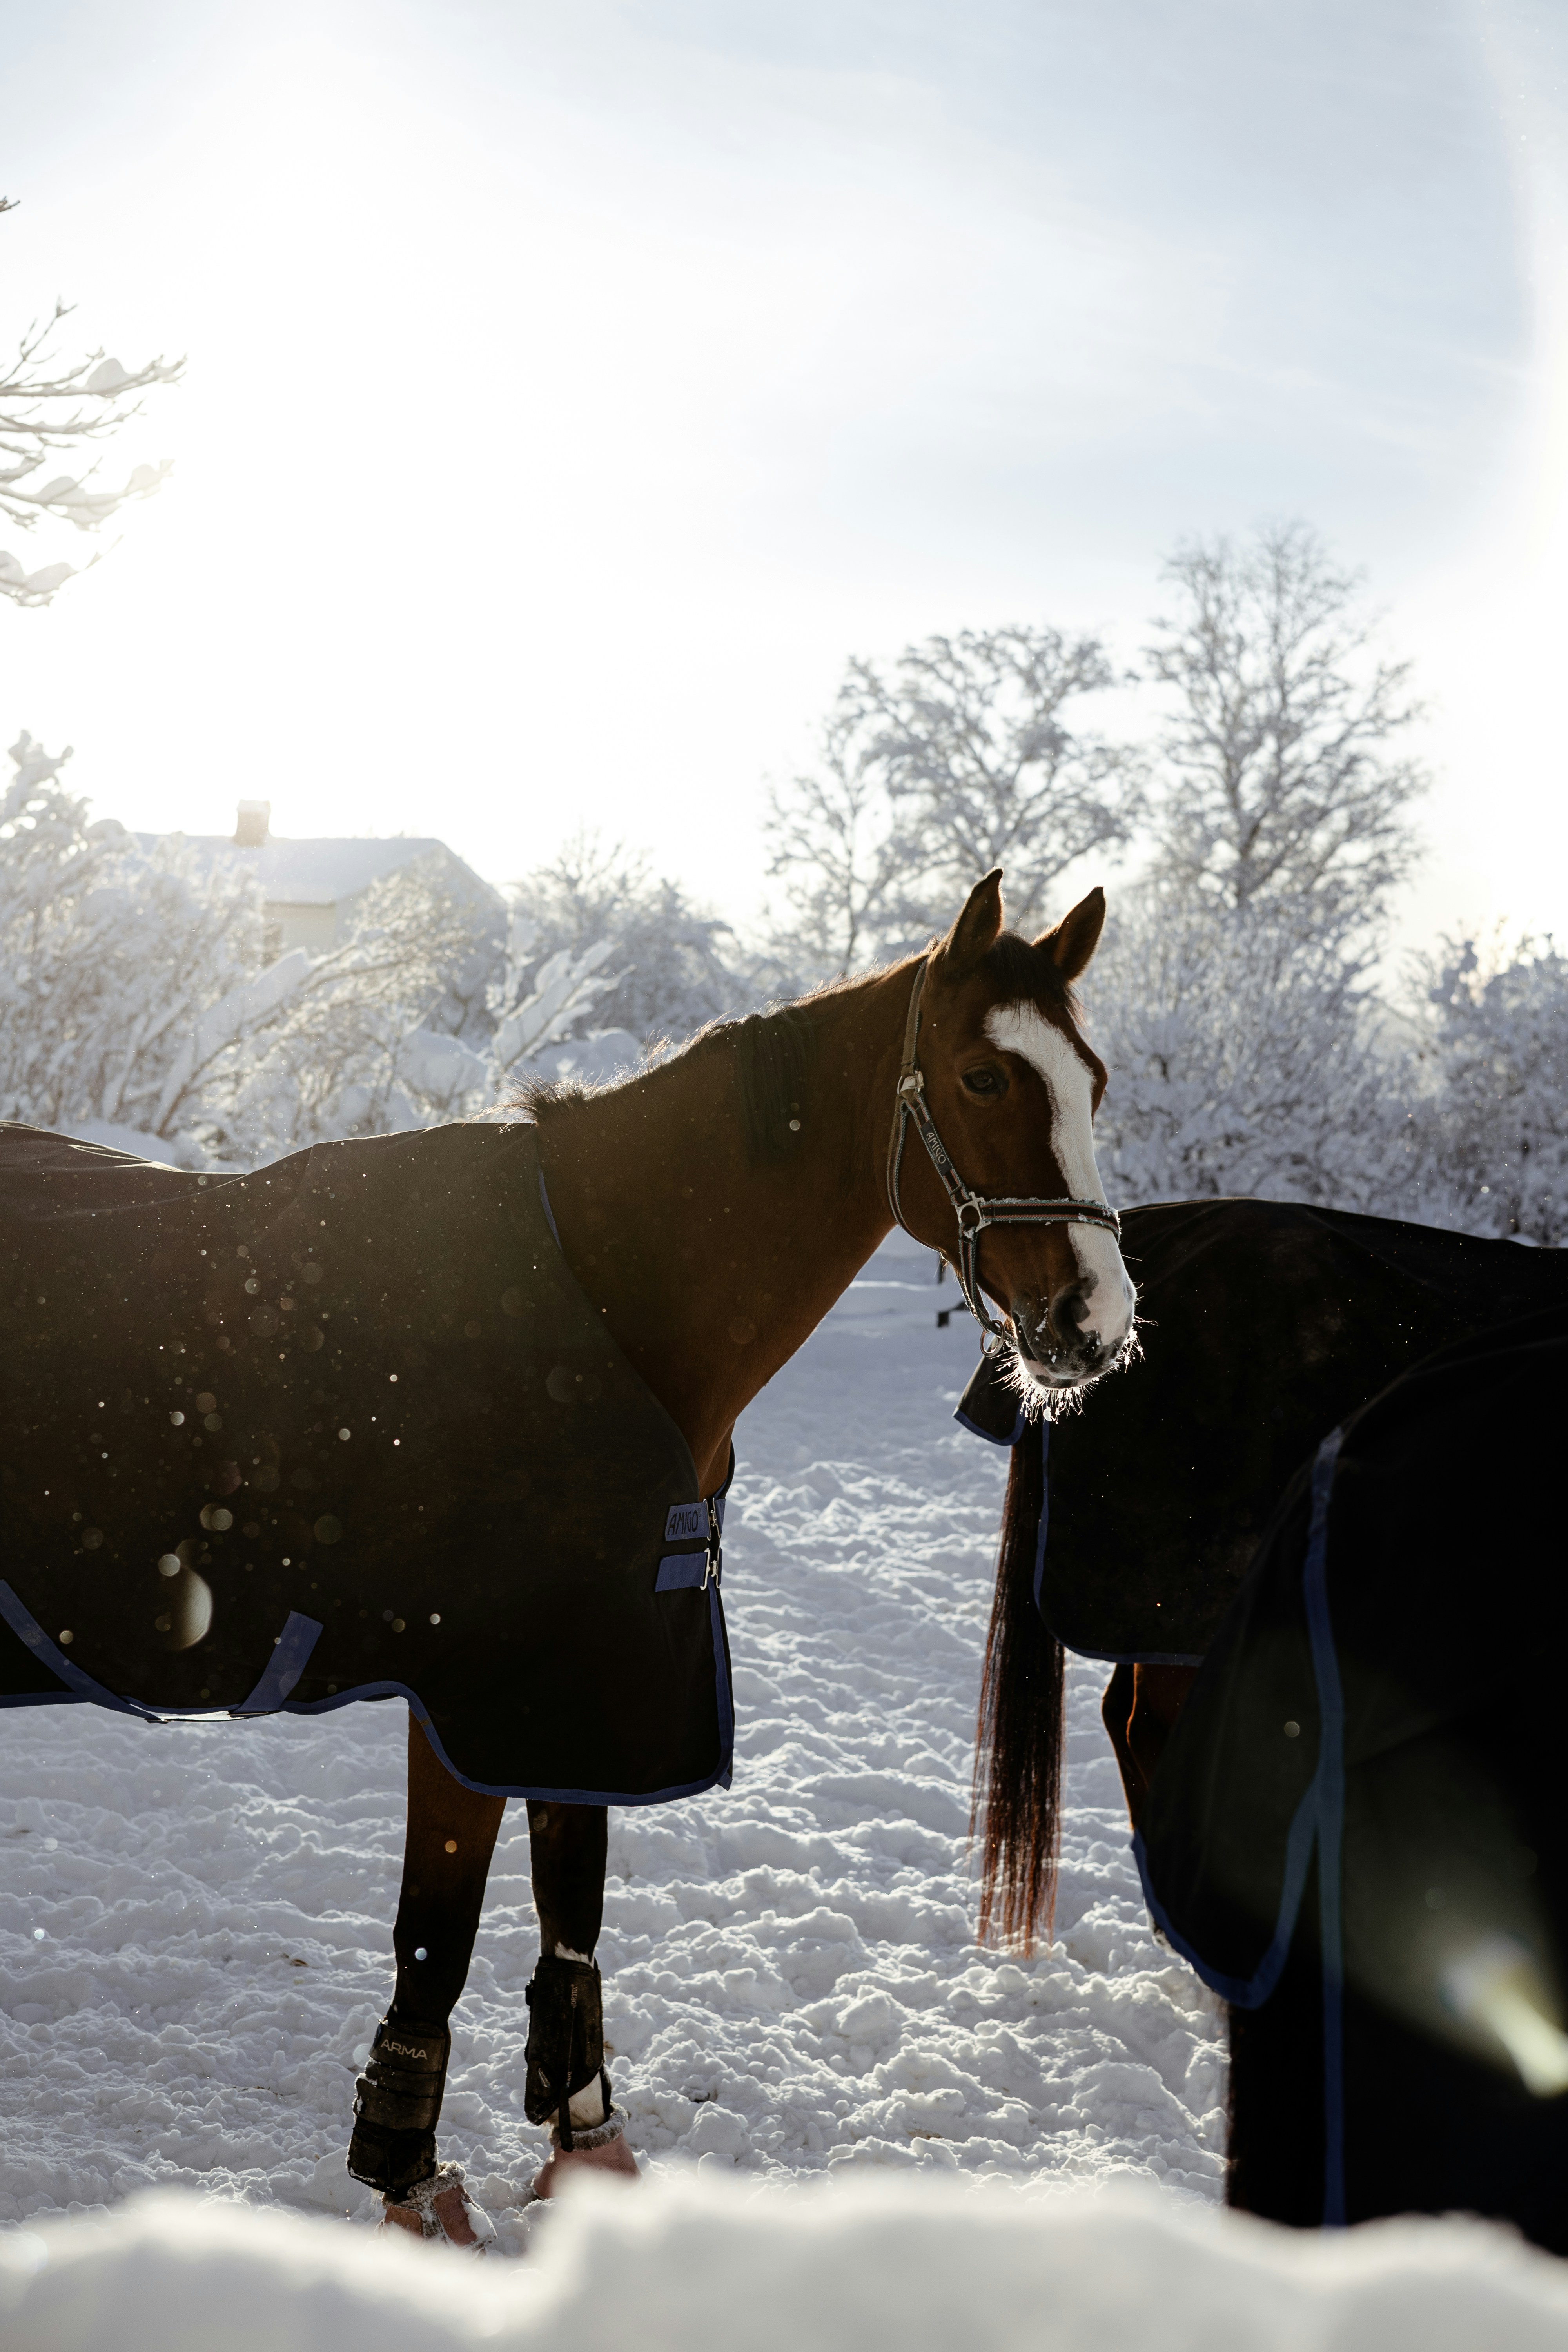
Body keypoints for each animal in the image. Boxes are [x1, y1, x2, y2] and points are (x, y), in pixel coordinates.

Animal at [0, 869, 1135, 2245]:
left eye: (1092, 1080)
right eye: (981, 1076)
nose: (1094, 1322)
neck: (602, 1290)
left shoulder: (593, 1677)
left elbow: (572, 1917)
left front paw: (585, 2139)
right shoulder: (481, 1697)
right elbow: (438, 1936)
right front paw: (411, 2182)